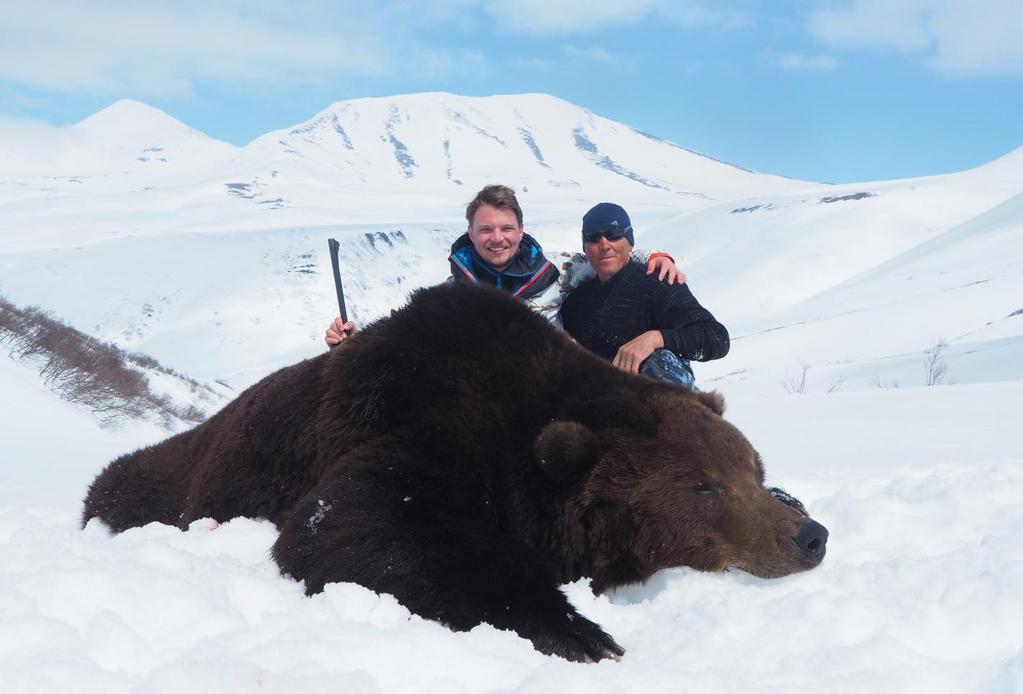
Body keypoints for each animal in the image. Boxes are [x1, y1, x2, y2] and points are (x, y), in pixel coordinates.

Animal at [81, 280, 830, 663]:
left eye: (751, 468)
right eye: (702, 484)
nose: (809, 536)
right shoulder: (421, 426)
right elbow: (350, 527)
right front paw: (580, 632)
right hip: (176, 477)